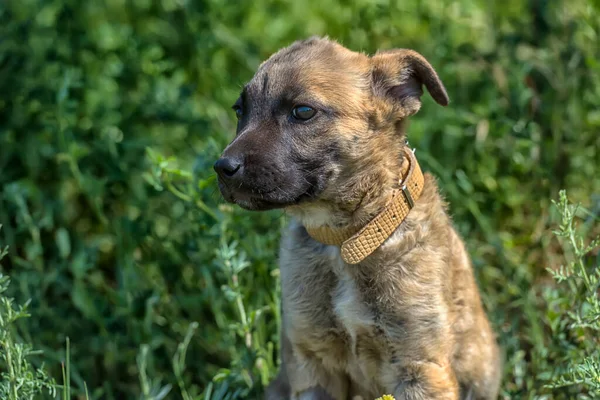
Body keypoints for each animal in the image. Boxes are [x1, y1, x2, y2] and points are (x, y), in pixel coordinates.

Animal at [214, 37, 502, 400]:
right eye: (240, 111)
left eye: (303, 112)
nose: (223, 168)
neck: (347, 239)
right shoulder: (312, 363)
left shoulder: (419, 365)